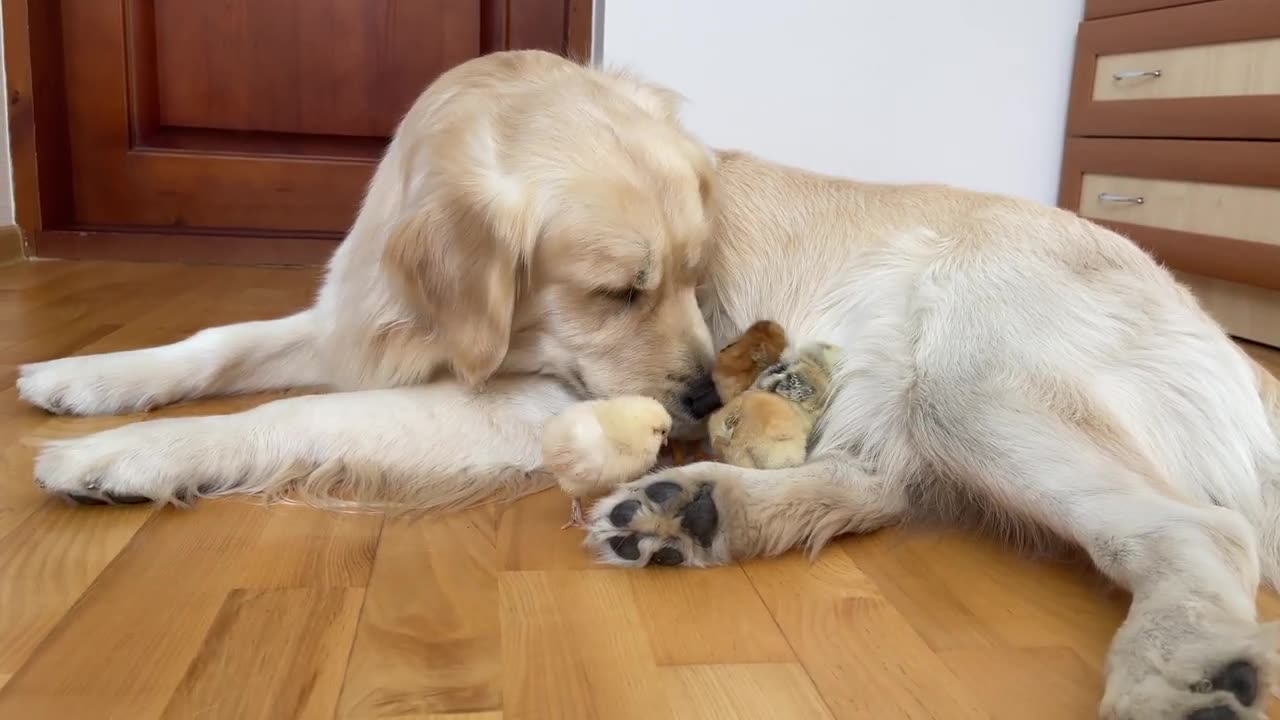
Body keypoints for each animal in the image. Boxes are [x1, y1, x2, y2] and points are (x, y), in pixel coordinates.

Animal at [17, 47, 1280, 712]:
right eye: (619, 290)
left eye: (693, 273)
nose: (700, 403)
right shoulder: (358, 318)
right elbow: (221, 341)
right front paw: (88, 378)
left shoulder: (535, 400)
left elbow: (286, 414)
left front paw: (124, 457)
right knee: (880, 489)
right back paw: (698, 512)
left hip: (973, 381)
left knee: (1204, 533)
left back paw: (1184, 667)